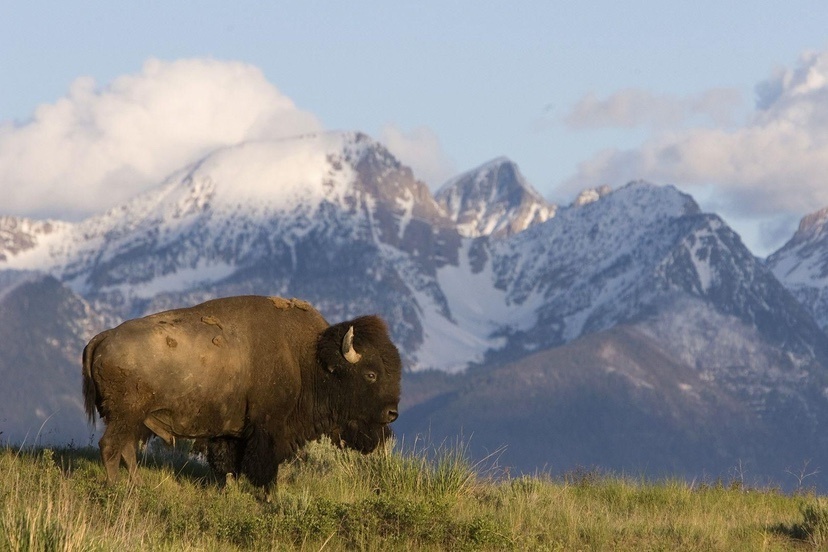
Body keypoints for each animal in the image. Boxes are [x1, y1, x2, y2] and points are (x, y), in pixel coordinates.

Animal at [82, 295, 402, 490]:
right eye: (371, 374)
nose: (392, 413)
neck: (308, 359)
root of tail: (103, 337)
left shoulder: (230, 432)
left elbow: (228, 464)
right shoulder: (267, 429)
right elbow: (261, 466)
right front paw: (267, 494)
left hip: (132, 420)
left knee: (126, 448)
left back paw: (136, 485)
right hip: (126, 415)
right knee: (110, 446)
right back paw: (117, 488)